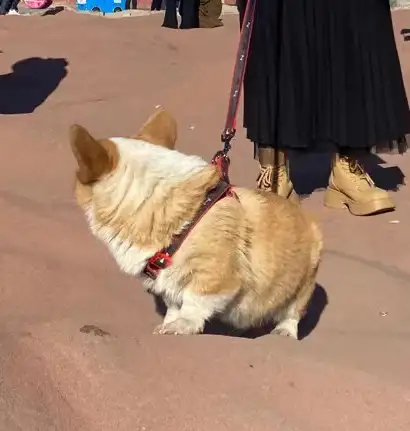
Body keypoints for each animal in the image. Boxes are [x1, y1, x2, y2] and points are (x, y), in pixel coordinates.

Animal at [70, 109, 322, 340]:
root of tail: (306, 218)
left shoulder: (214, 274)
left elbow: (195, 301)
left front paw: (182, 324)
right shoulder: (168, 282)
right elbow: (173, 303)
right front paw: (169, 322)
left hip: (302, 286)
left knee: (292, 312)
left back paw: (284, 331)